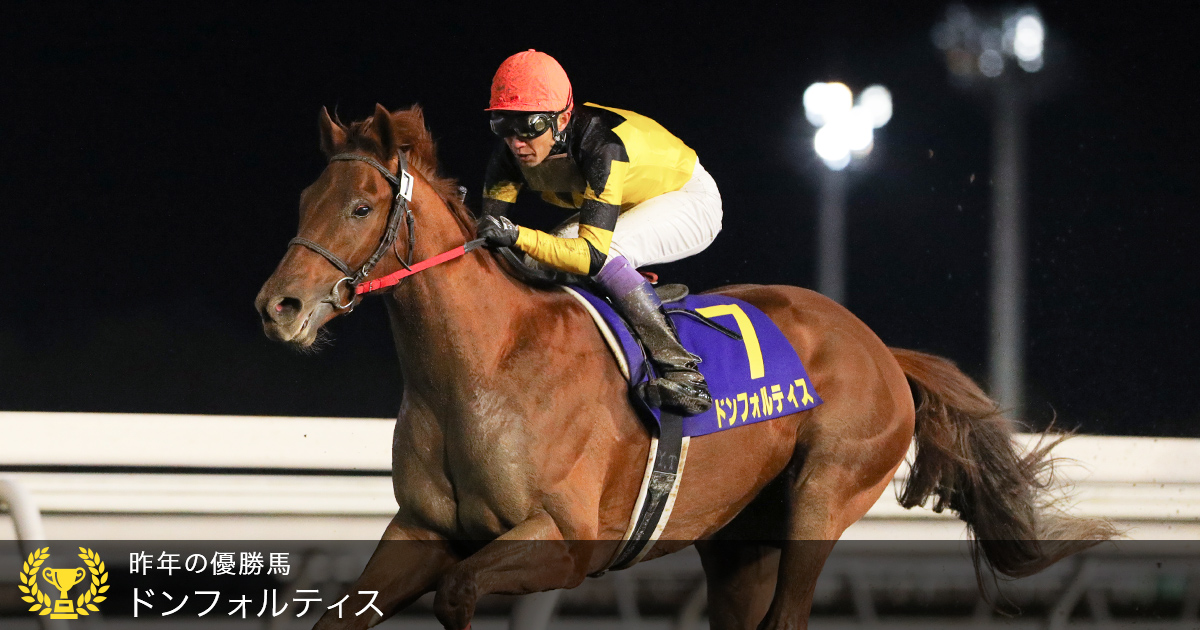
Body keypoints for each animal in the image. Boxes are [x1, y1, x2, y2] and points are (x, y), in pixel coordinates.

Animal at [254, 103, 1115, 630]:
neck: (482, 368)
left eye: (361, 207)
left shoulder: (565, 542)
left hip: (824, 497)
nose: (278, 307)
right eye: (304, 199)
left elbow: (461, 592)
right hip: (738, 541)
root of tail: (878, 346)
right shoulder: (423, 528)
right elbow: (341, 611)